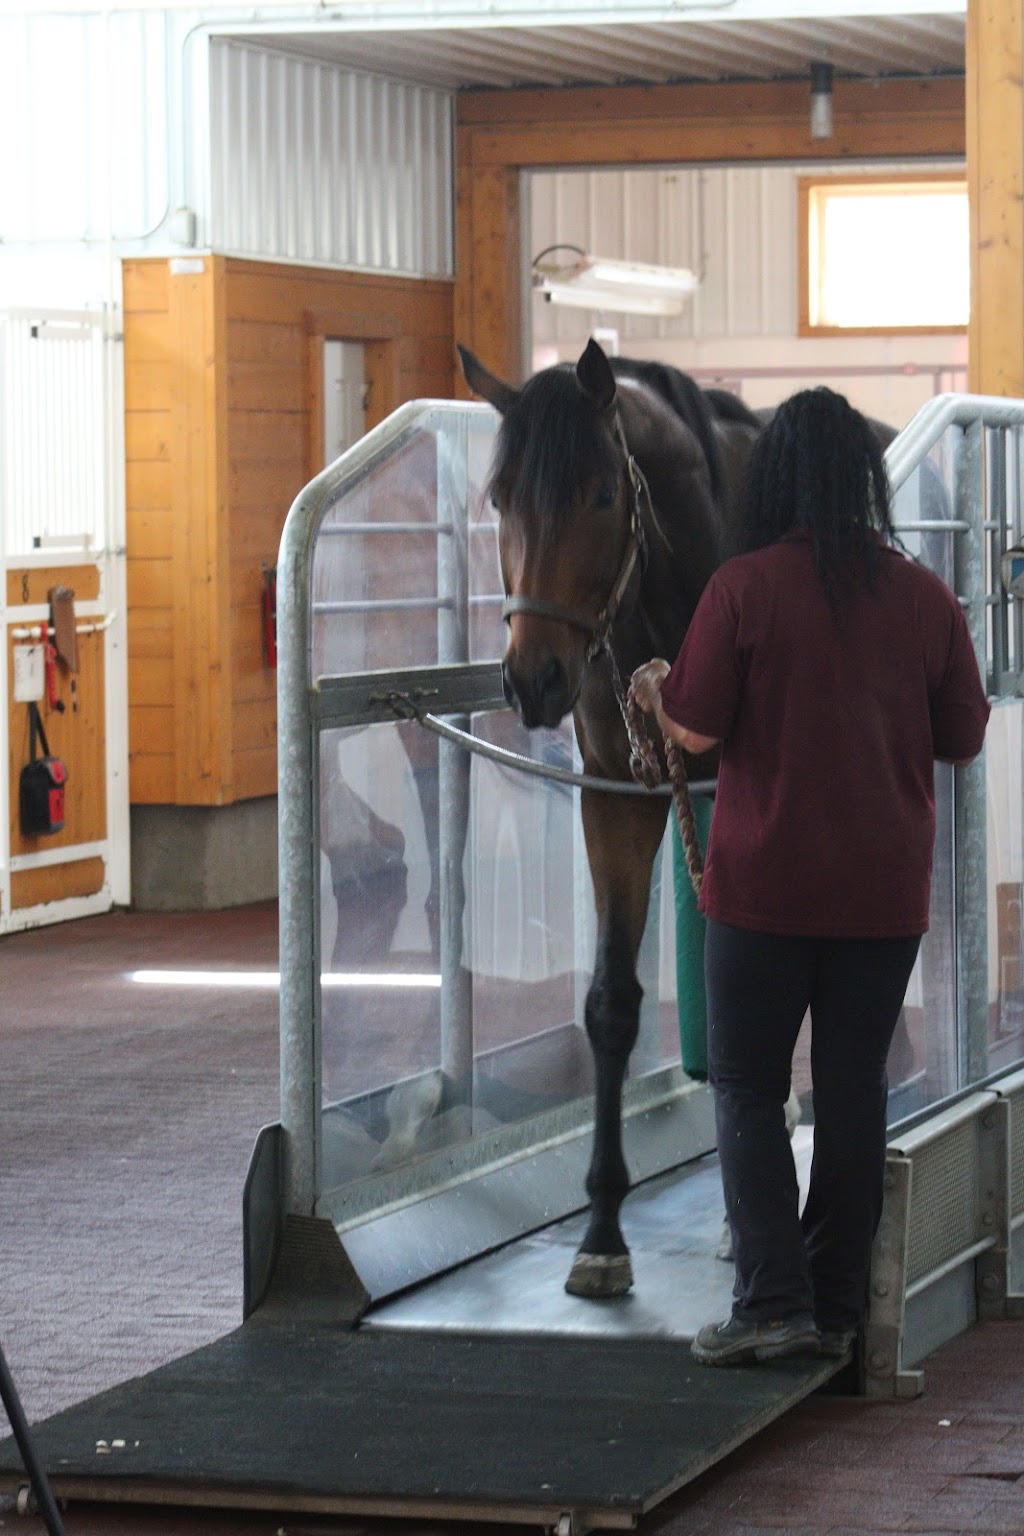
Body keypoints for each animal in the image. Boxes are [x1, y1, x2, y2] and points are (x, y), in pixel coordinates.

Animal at [457, 339, 761, 1296]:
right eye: (500, 500)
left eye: (599, 494)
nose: (533, 678)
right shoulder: (614, 798)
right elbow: (611, 1006)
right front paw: (600, 1231)